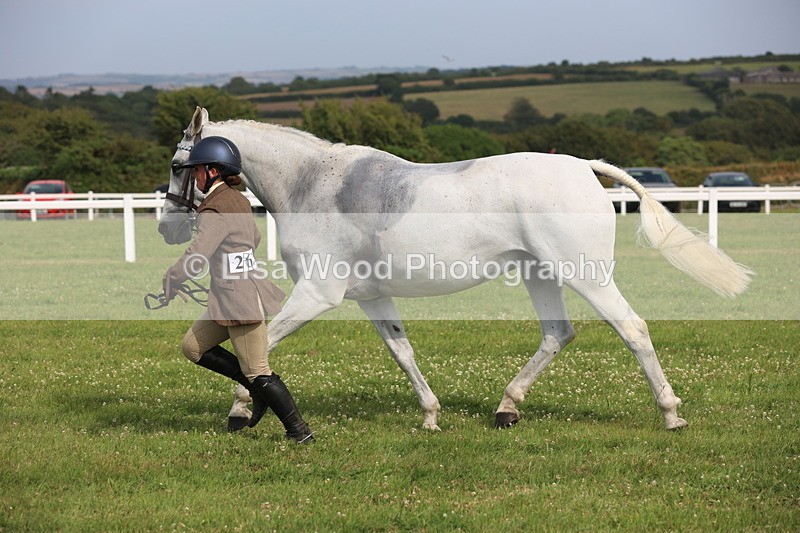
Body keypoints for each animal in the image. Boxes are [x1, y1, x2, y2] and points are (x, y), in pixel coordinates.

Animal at [158, 106, 752, 432]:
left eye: (177, 164)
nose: (167, 227)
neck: (315, 185)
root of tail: (583, 167)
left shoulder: (317, 294)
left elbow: (258, 348)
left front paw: (242, 409)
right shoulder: (371, 296)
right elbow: (402, 353)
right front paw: (430, 415)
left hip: (584, 274)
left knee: (631, 329)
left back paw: (671, 414)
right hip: (539, 275)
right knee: (558, 334)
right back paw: (507, 408)